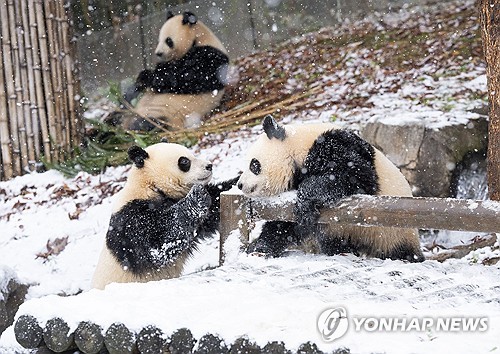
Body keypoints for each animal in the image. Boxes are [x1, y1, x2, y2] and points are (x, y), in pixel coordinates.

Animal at [93, 140, 238, 290]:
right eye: (184, 161)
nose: (209, 166)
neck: (150, 185)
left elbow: (213, 206)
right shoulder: (130, 221)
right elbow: (158, 245)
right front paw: (196, 196)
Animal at [236, 116, 424, 262]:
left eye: (254, 165)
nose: (239, 184)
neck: (298, 147)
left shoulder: (335, 145)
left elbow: (356, 176)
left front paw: (305, 202)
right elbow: (287, 224)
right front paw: (259, 246)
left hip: (392, 232)